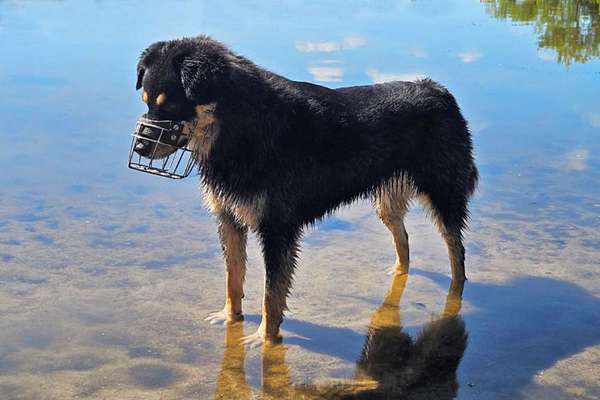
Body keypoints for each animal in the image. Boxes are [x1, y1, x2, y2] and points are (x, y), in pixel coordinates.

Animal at [135, 36, 478, 346]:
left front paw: (264, 337)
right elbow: (233, 278)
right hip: (388, 202)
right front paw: (230, 317)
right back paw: (400, 273)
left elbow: (271, 293)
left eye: (172, 104)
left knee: (456, 249)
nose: (140, 147)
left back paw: (457, 291)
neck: (241, 125)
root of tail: (439, 91)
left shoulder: (278, 229)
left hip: (443, 193)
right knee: (403, 239)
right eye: (147, 102)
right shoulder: (228, 218)